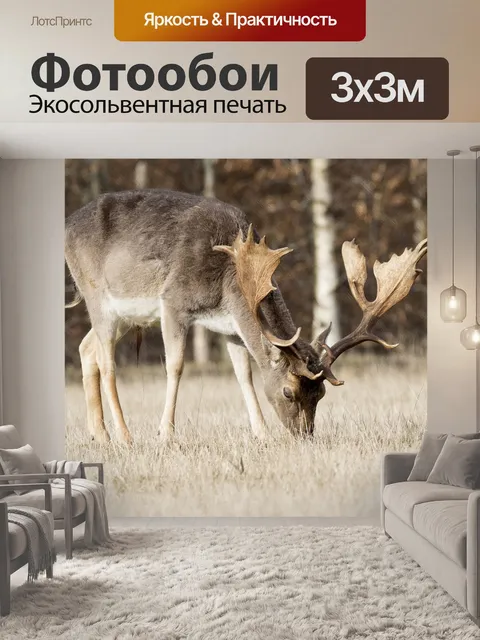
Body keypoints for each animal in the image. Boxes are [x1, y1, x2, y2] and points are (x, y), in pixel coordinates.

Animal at [65, 188, 427, 445]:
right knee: (107, 362)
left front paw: (262, 434)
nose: (305, 437)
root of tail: (67, 225)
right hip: (97, 295)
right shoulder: (173, 302)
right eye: (288, 392)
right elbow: (176, 366)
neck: (229, 278)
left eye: (321, 393)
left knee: (86, 348)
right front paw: (165, 435)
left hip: (128, 316)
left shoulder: (229, 326)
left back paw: (100, 435)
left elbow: (244, 375)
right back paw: (124, 436)